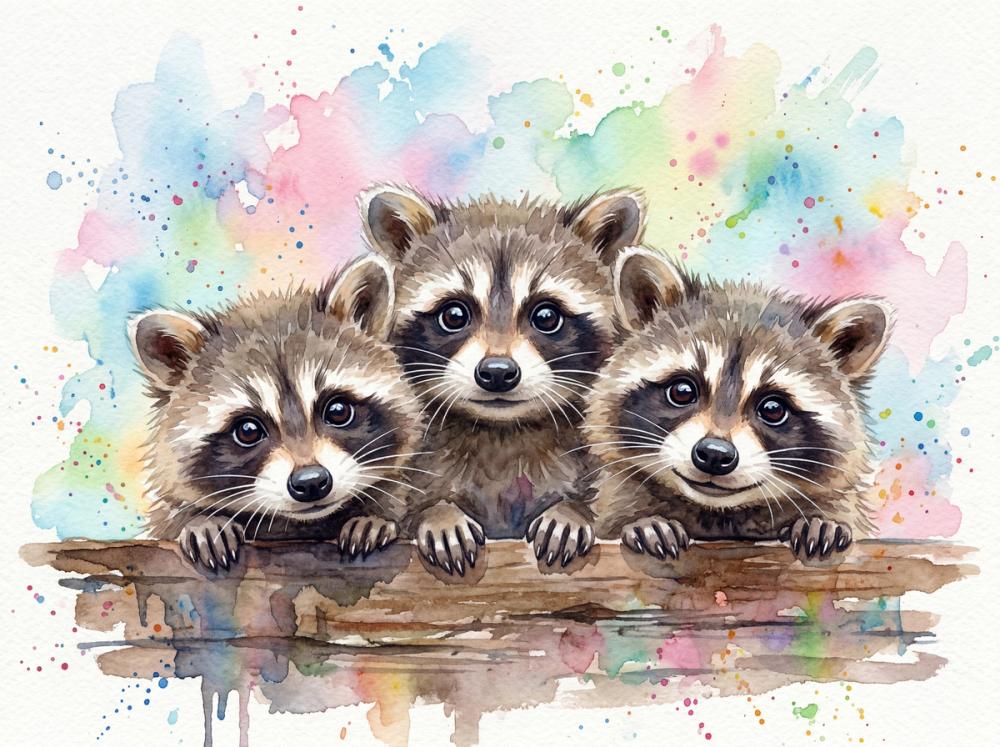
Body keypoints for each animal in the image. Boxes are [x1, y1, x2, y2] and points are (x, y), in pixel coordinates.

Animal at [358, 185, 647, 573]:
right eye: (454, 314)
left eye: (546, 316)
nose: (497, 373)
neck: (503, 430)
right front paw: (438, 512)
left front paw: (571, 511)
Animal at [586, 247, 893, 560]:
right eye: (682, 391)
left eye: (773, 409)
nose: (714, 454)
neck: (719, 512)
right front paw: (645, 522)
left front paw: (820, 522)